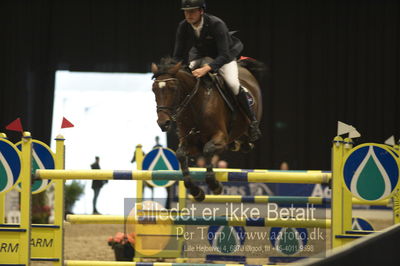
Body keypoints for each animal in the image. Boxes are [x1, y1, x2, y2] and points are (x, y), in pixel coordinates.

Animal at [152, 56, 264, 202]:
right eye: (154, 89)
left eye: (173, 88)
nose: (163, 123)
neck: (196, 105)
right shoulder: (191, 143)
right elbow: (180, 155)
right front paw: (196, 191)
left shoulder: (220, 138)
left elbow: (207, 150)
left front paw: (214, 185)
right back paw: (237, 144)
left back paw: (251, 134)